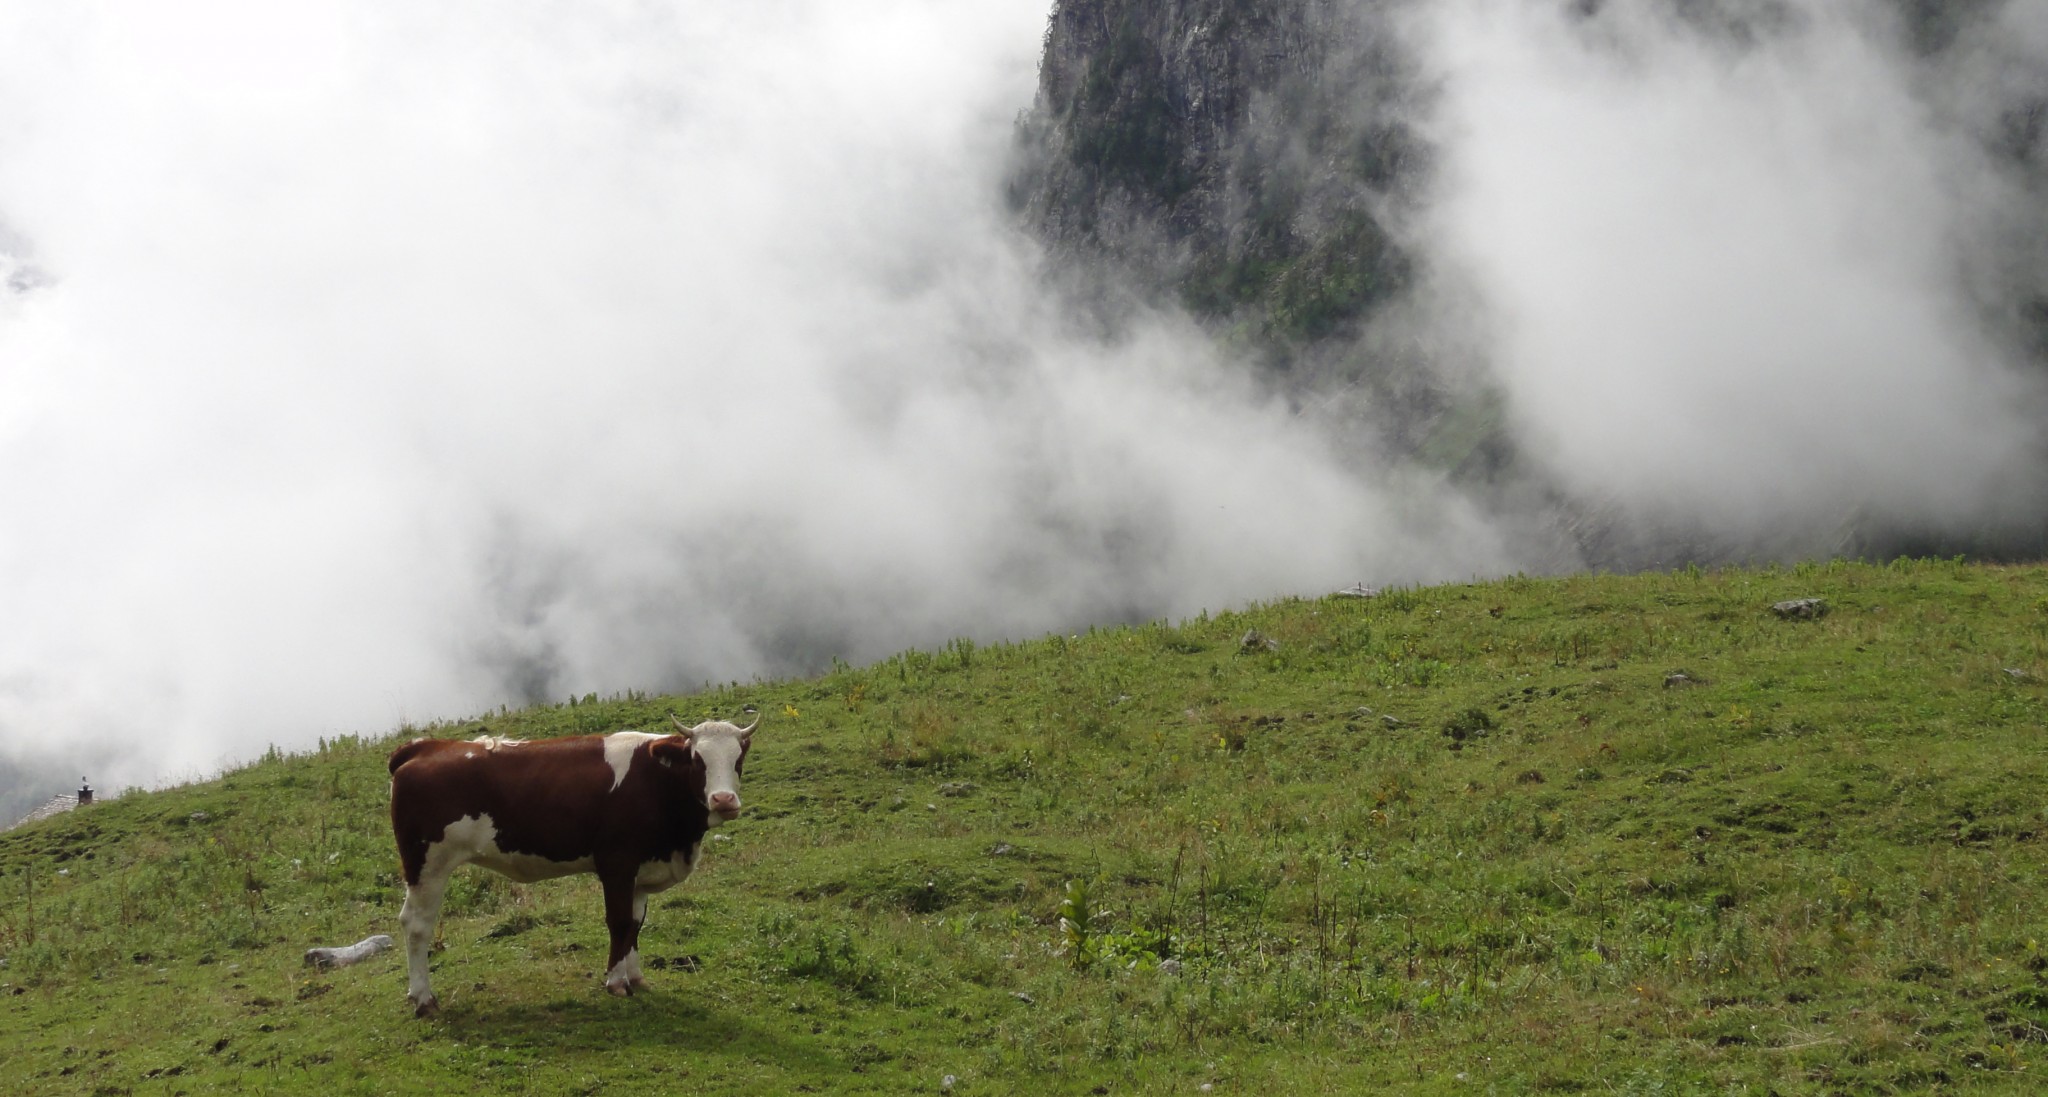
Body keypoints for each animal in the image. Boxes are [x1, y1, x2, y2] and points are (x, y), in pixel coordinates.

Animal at [385, 716, 753, 1015]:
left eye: (738, 759)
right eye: (697, 760)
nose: (724, 800)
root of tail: (426, 746)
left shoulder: (641, 869)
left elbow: (635, 924)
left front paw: (636, 978)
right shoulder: (617, 863)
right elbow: (619, 923)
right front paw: (616, 983)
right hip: (427, 864)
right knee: (416, 924)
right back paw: (423, 999)